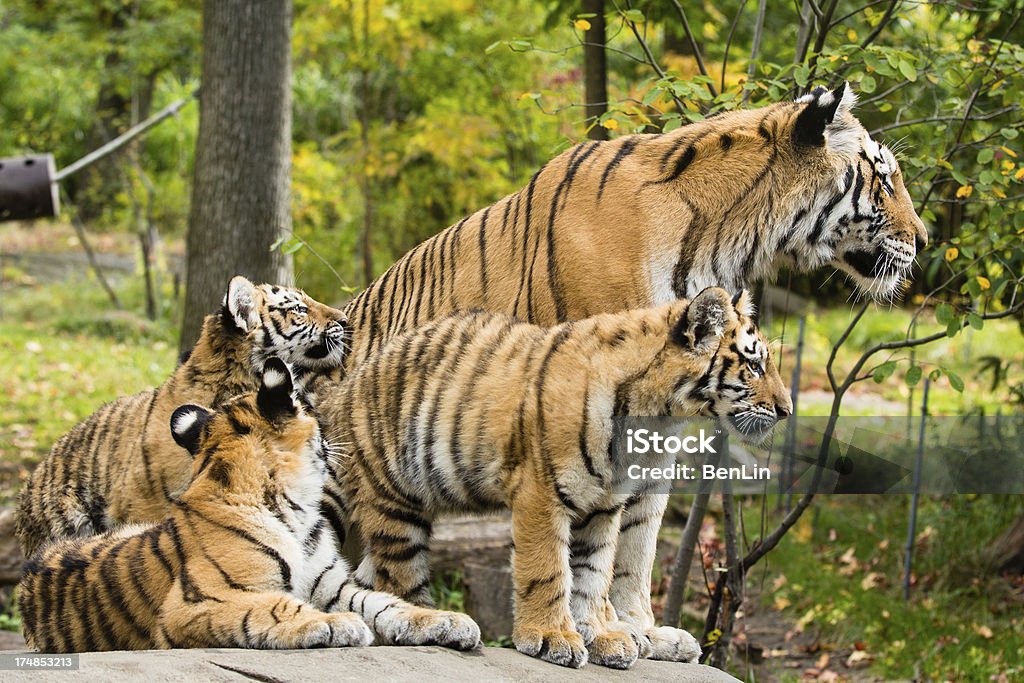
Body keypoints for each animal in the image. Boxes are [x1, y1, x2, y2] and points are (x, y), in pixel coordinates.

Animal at [327, 80, 929, 663]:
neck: (729, 243)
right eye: (884, 179)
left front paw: (641, 630)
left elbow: (638, 533)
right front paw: (594, 628)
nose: (924, 240)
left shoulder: (661, 424)